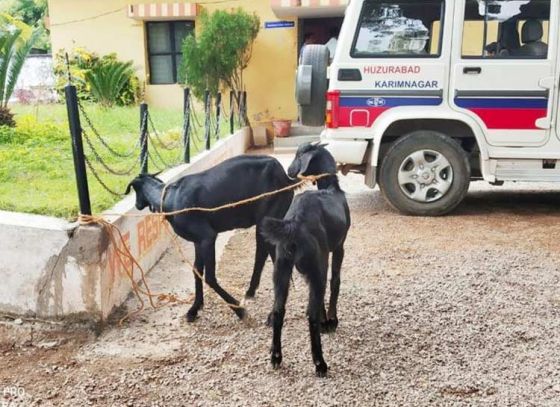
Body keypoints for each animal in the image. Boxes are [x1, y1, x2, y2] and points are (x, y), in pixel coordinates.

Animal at [126, 155, 294, 322]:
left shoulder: (207, 237)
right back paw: (252, 292)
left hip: (269, 216)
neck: (169, 198)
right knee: (265, 254)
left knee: (270, 255)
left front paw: (239, 310)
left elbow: (210, 277)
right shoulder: (197, 241)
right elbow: (197, 270)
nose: (137, 205)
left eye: (135, 190)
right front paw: (194, 309)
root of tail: (284, 176)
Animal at [262, 144, 350, 380]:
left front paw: (325, 321)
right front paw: (331, 321)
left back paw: (275, 357)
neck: (331, 188)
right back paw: (320, 363)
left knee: (278, 310)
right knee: (310, 315)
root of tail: (294, 222)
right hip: (318, 264)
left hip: (281, 269)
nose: (289, 170)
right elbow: (335, 282)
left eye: (297, 156)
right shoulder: (338, 248)